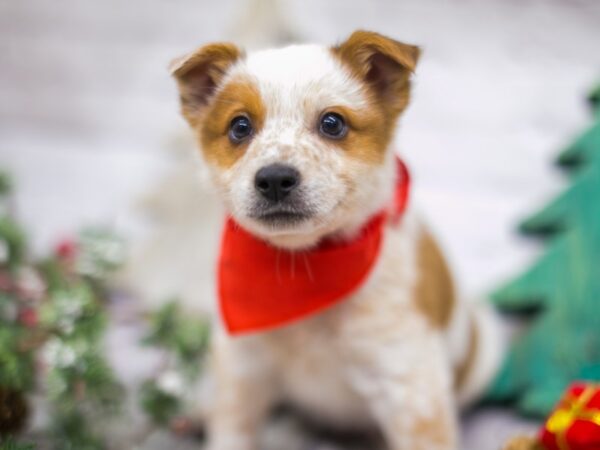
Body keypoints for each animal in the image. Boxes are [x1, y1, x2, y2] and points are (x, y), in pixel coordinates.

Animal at [172, 31, 502, 450]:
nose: (275, 178)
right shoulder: (243, 365)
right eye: (240, 127)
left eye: (332, 123)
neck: (302, 270)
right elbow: (232, 432)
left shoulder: (411, 385)